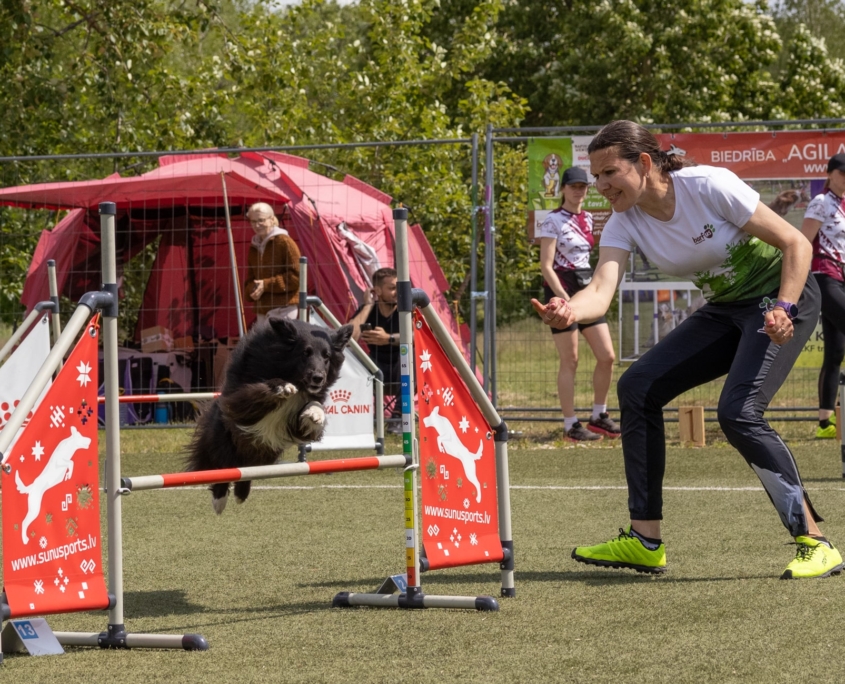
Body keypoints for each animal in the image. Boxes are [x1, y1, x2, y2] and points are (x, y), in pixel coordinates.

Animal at [186, 316, 353, 513]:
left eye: (326, 357)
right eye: (305, 353)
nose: (318, 378)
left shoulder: (297, 420)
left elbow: (314, 407)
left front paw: (315, 414)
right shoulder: (240, 400)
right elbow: (261, 389)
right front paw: (282, 386)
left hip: (265, 451)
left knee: (247, 469)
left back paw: (241, 493)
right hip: (223, 437)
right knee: (223, 465)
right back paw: (220, 500)